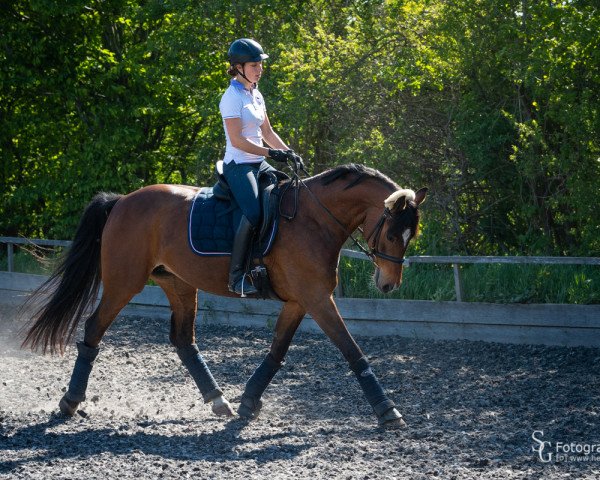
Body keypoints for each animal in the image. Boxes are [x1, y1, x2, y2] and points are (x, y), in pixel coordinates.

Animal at [22, 164, 426, 428]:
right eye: (393, 234)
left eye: (412, 236)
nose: (388, 285)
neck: (314, 219)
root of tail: (122, 201)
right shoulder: (316, 298)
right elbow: (352, 350)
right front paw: (388, 411)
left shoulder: (301, 301)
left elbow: (277, 351)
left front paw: (249, 402)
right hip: (124, 283)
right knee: (93, 329)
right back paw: (69, 402)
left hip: (179, 284)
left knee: (184, 341)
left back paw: (220, 402)